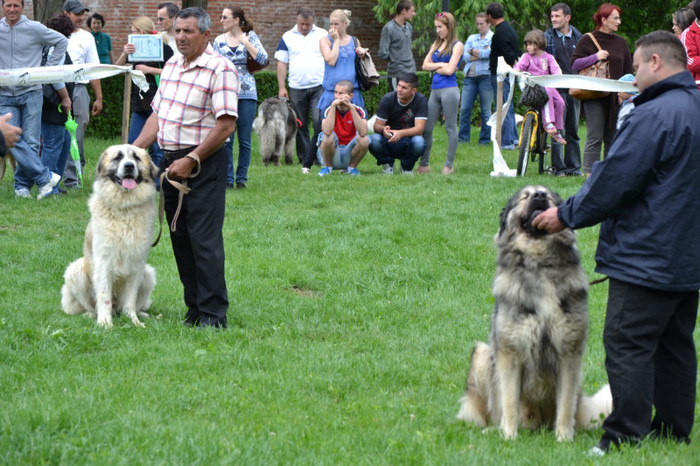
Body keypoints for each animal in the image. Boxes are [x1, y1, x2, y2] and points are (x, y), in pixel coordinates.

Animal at [60, 145, 158, 328]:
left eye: (136, 158)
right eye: (117, 158)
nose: (129, 166)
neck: (125, 208)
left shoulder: (137, 263)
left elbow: (130, 299)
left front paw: (133, 321)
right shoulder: (104, 262)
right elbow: (104, 296)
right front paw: (105, 323)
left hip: (148, 274)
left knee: (126, 305)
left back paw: (141, 314)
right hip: (75, 271)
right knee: (87, 306)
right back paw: (91, 315)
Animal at [456, 185, 608, 440]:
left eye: (547, 195)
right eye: (525, 197)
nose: (539, 196)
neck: (540, 263)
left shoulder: (569, 353)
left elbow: (565, 404)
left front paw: (564, 438)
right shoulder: (509, 353)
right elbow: (508, 401)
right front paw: (509, 436)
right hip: (482, 354)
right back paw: (493, 429)